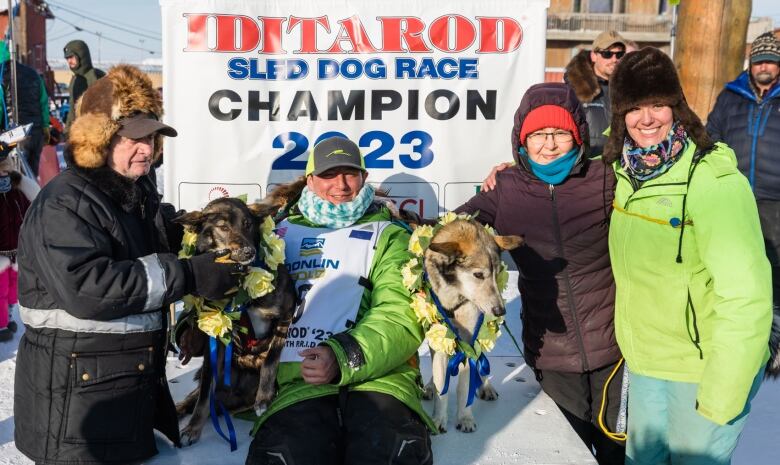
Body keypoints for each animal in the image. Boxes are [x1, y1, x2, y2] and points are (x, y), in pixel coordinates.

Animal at [173, 198, 296, 444]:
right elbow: (203, 397)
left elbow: (271, 358)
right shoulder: (215, 342)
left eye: (248, 224)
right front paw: (193, 428)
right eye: (222, 227)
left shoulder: (287, 313)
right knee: (198, 397)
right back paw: (181, 409)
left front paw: (265, 397)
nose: (249, 251)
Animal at [420, 219, 524, 434]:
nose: (500, 310)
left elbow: (464, 385)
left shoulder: (469, 341)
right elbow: (442, 385)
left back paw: (485, 386)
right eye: (478, 274)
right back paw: (430, 386)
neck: (455, 294)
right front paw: (438, 419)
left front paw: (465, 418)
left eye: (497, 273)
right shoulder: (440, 336)